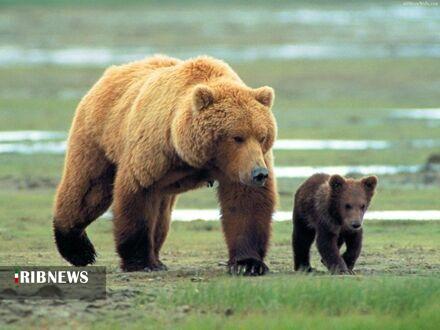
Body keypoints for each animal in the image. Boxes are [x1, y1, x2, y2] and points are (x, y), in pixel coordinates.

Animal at [53, 54, 276, 276]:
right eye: (237, 137)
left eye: (262, 136)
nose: (259, 173)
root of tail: (112, 71)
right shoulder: (155, 152)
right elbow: (137, 196)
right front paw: (139, 261)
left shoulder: (238, 166)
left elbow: (246, 203)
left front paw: (248, 263)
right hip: (99, 136)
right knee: (88, 190)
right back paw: (79, 250)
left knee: (160, 214)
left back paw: (157, 259)